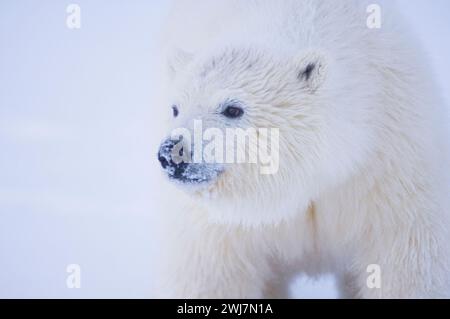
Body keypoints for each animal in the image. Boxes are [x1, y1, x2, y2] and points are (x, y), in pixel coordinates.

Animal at [154, 0, 450, 300]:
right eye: (176, 108)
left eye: (233, 109)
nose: (171, 152)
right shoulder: (220, 223)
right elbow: (212, 276)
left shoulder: (389, 170)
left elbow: (403, 266)